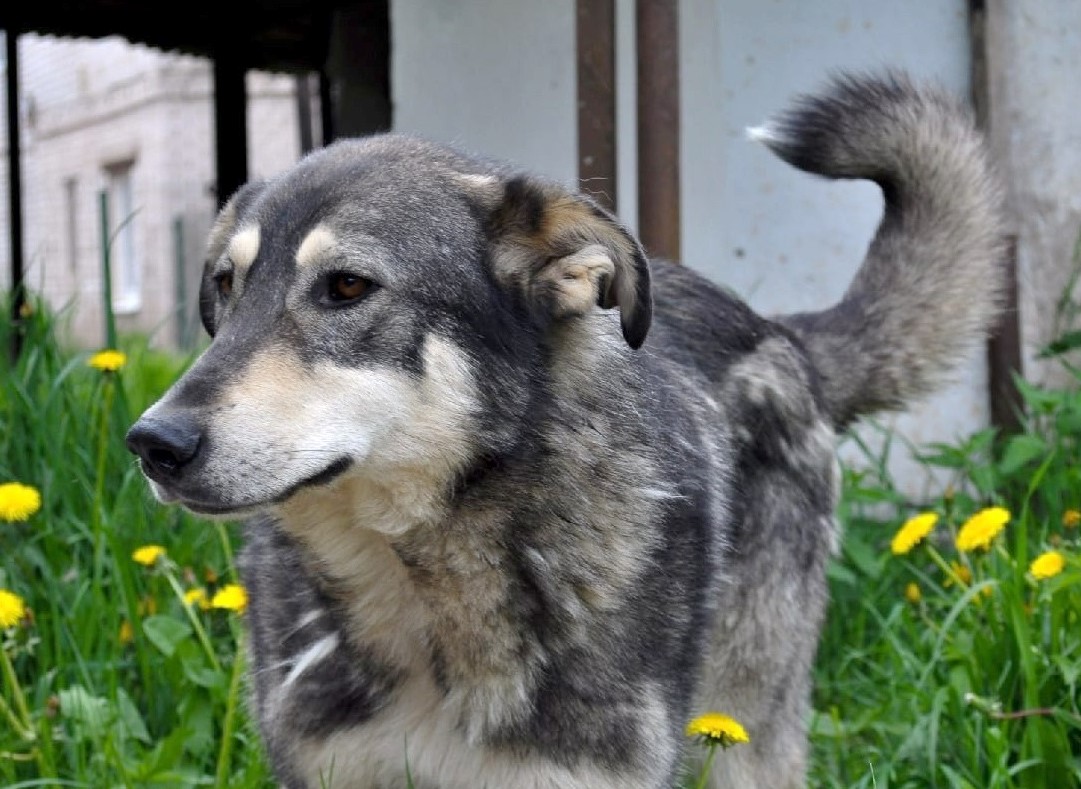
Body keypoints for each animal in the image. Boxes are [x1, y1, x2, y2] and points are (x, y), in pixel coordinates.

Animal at [126, 70, 1003, 782]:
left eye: (346, 286)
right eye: (226, 287)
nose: (153, 444)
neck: (420, 589)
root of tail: (781, 332)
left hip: (749, 726)